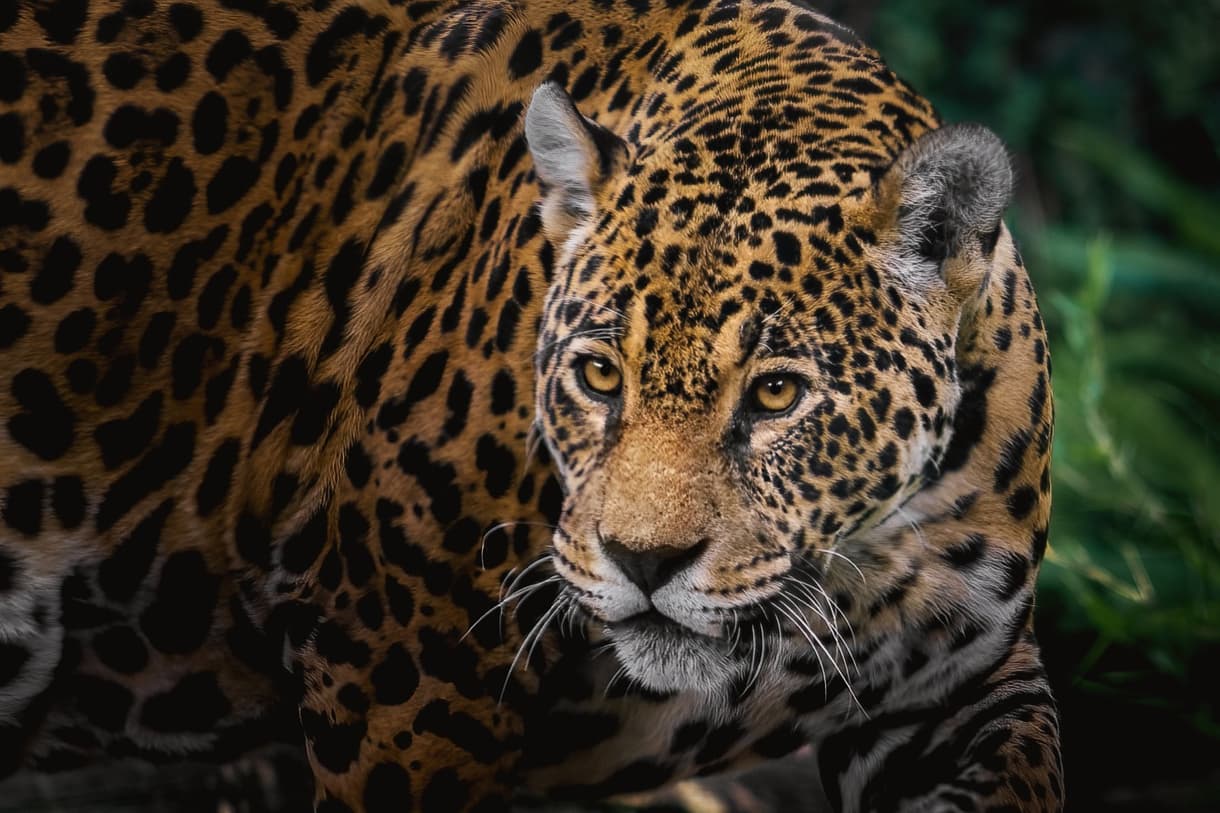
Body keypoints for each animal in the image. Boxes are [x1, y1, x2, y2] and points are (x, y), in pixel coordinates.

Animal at [0, 0, 1063, 810]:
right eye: (599, 376)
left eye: (776, 393)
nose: (644, 561)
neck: (857, 555)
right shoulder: (403, 672)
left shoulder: (960, 690)